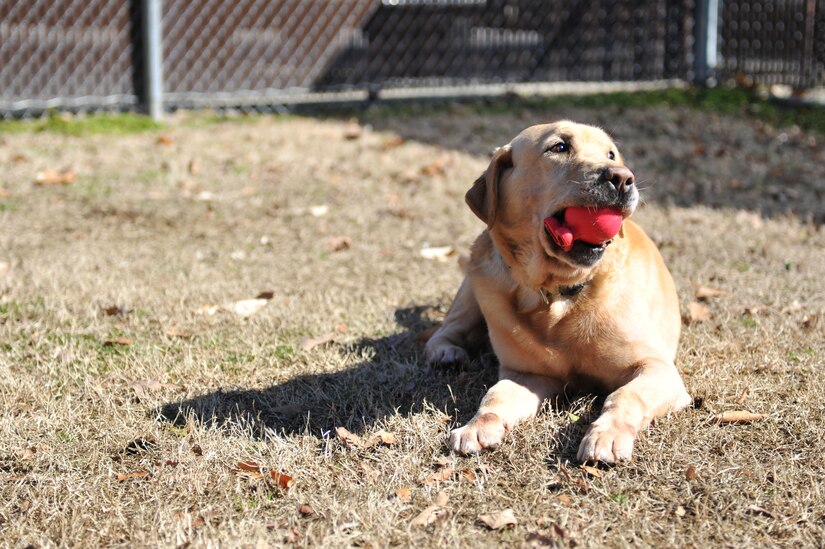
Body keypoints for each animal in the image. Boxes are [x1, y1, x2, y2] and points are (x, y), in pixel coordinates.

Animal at [424, 121, 688, 462]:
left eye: (611, 153)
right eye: (559, 147)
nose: (623, 177)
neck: (558, 292)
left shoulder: (657, 368)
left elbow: (625, 395)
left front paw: (608, 434)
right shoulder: (528, 374)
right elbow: (496, 396)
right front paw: (477, 425)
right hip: (473, 288)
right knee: (446, 329)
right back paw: (446, 353)